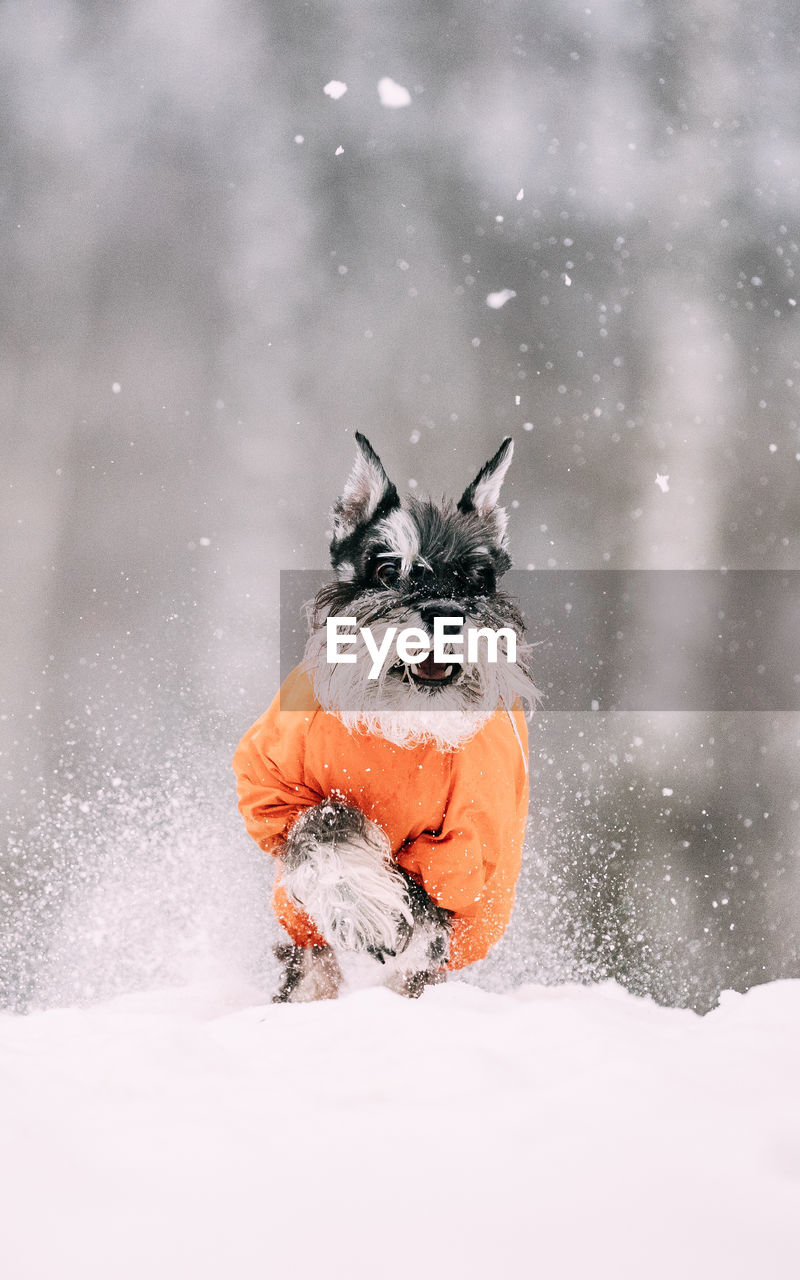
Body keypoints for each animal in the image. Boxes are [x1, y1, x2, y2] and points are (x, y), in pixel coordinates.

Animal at [234, 435, 540, 1003]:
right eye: (386, 569)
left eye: (478, 579)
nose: (445, 614)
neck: (403, 728)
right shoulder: (272, 791)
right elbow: (326, 822)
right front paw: (363, 910)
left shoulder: (465, 848)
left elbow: (426, 903)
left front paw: (396, 930)